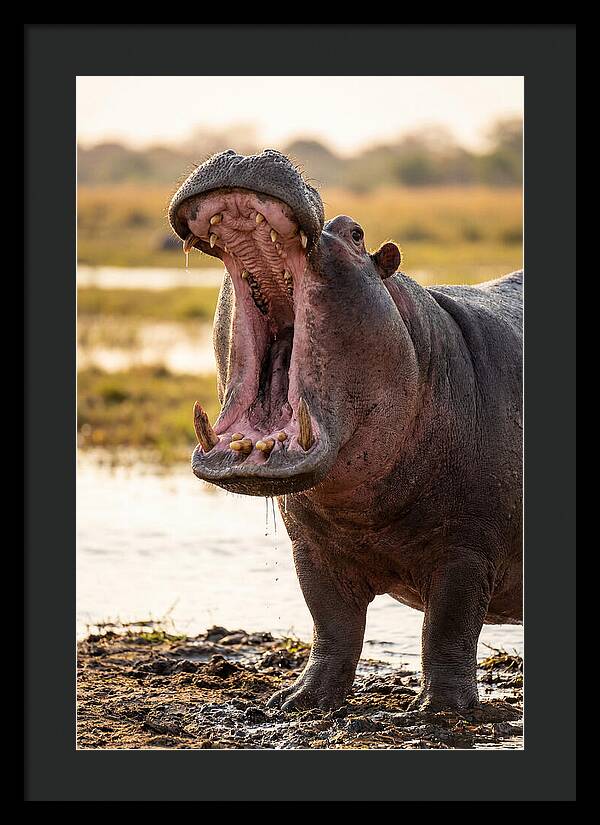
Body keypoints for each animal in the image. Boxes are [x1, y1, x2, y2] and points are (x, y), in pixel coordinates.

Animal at [168, 149, 523, 712]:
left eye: (356, 234)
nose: (248, 153)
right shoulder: (311, 547)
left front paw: (442, 710)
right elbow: (332, 623)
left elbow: (449, 627)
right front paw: (299, 700)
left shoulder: (468, 549)